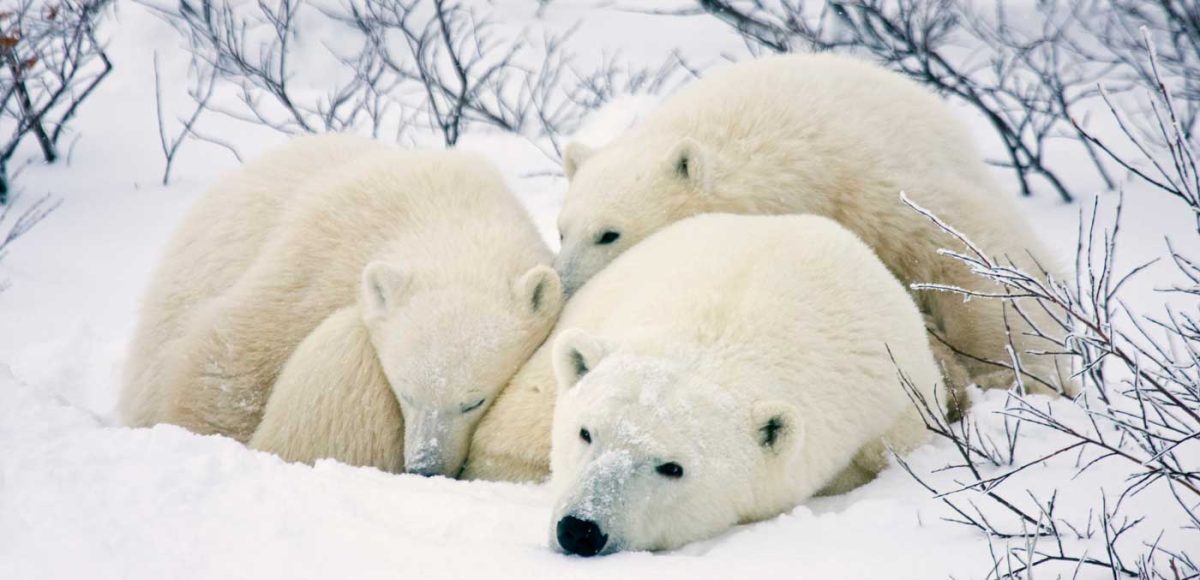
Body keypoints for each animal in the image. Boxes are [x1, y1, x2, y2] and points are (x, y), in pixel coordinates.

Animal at [119, 134, 563, 477]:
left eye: (474, 401)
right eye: (405, 393)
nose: (426, 466)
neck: (447, 212)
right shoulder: (320, 258)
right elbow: (235, 352)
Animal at [555, 53, 1075, 398]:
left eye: (609, 233)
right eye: (562, 230)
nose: (565, 287)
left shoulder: (875, 183)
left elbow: (963, 251)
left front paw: (1017, 371)